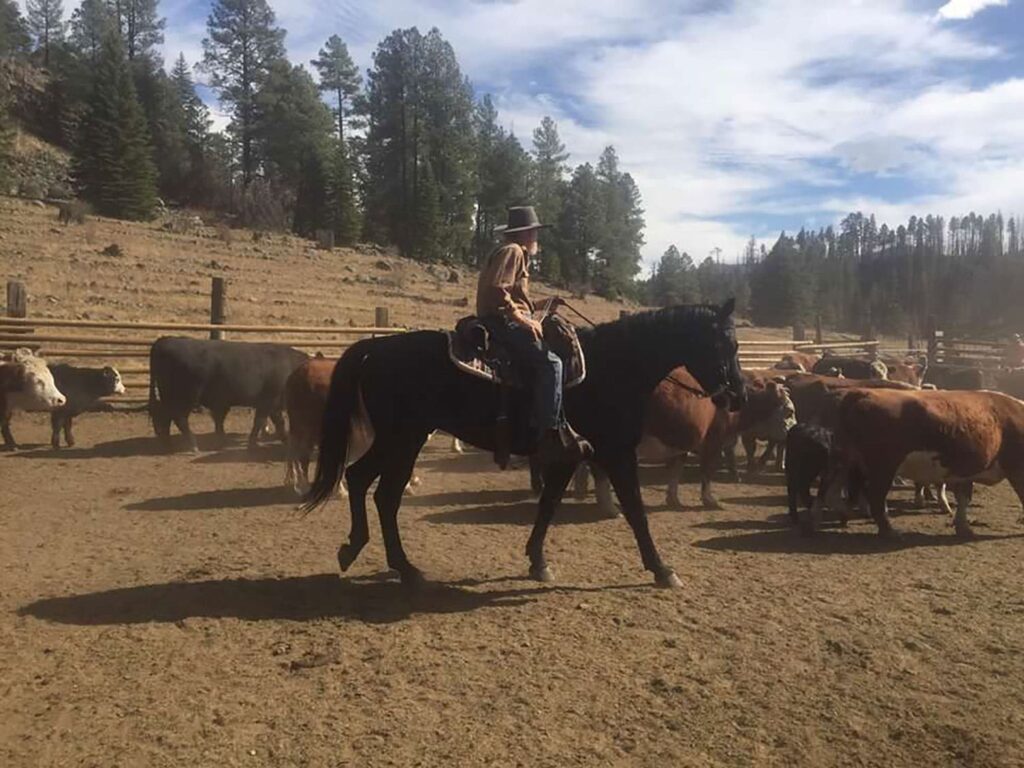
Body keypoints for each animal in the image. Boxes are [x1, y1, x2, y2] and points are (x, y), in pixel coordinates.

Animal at [149, 336, 308, 452]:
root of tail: (164, 340)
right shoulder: (268, 401)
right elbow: (260, 422)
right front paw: (253, 443)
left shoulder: (273, 404)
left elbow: (278, 422)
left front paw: (285, 440)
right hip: (184, 397)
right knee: (178, 418)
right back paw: (193, 445)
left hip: (168, 397)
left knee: (165, 417)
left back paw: (167, 444)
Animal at [822, 388, 1024, 538]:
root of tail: (860, 393)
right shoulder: (1017, 469)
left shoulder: (966, 473)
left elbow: (963, 498)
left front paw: (963, 527)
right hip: (883, 468)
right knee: (875, 498)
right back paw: (889, 531)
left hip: (845, 461)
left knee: (832, 493)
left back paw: (846, 514)